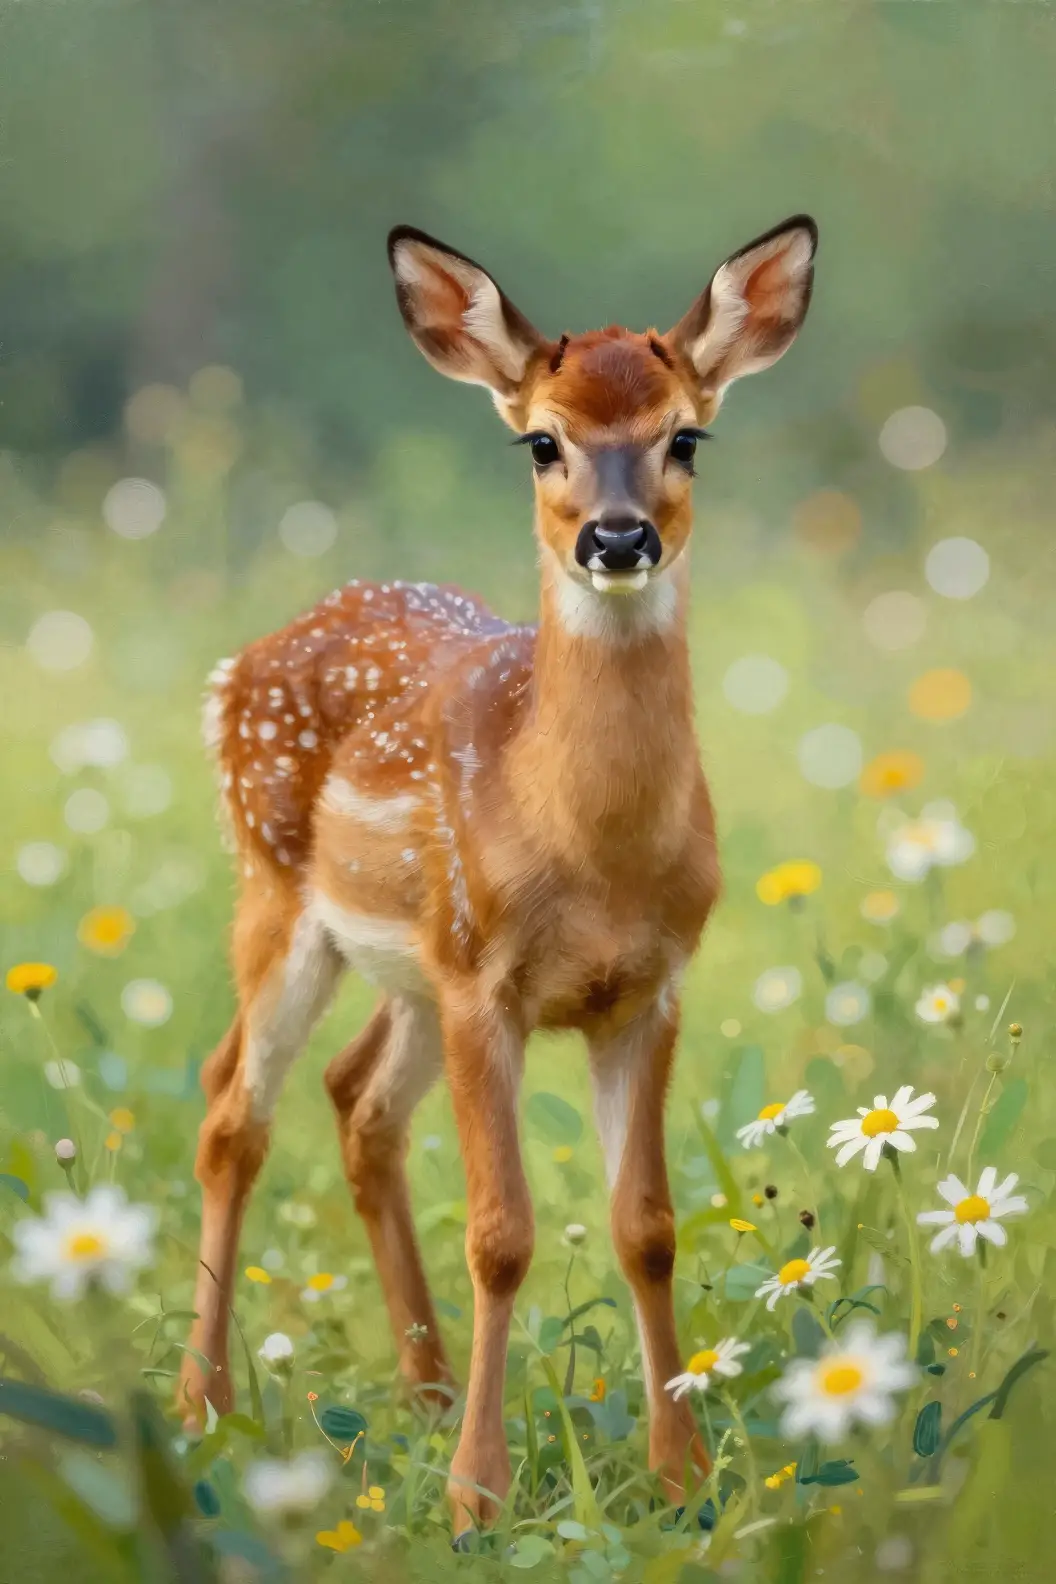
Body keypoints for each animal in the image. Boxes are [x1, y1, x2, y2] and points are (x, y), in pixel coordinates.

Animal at [178, 213, 818, 1536]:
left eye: (686, 434)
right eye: (541, 440)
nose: (616, 539)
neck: (591, 848)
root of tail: (242, 662)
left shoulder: (649, 987)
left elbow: (646, 1228)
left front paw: (680, 1479)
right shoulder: (489, 984)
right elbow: (503, 1235)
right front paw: (481, 1495)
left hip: (413, 965)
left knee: (359, 1100)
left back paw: (419, 1394)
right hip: (285, 898)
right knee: (232, 1110)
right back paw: (200, 1408)